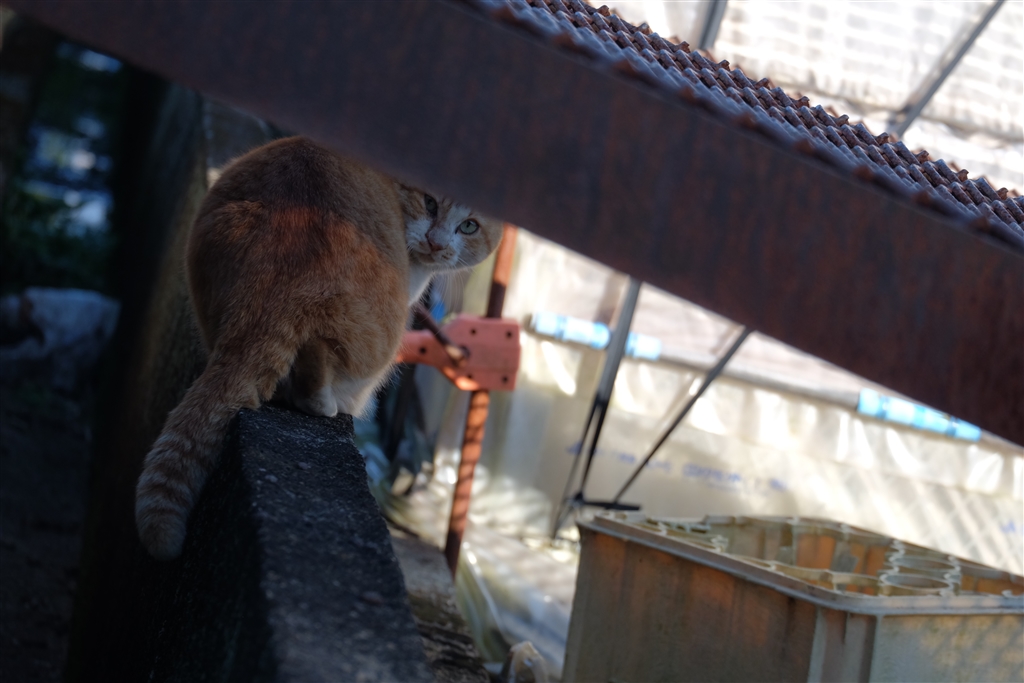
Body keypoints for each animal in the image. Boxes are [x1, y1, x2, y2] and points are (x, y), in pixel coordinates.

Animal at [135, 136, 503, 560]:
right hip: (379, 343)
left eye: (469, 226)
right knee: (318, 372)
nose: (436, 243)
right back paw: (330, 404)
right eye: (429, 203)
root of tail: (282, 281)